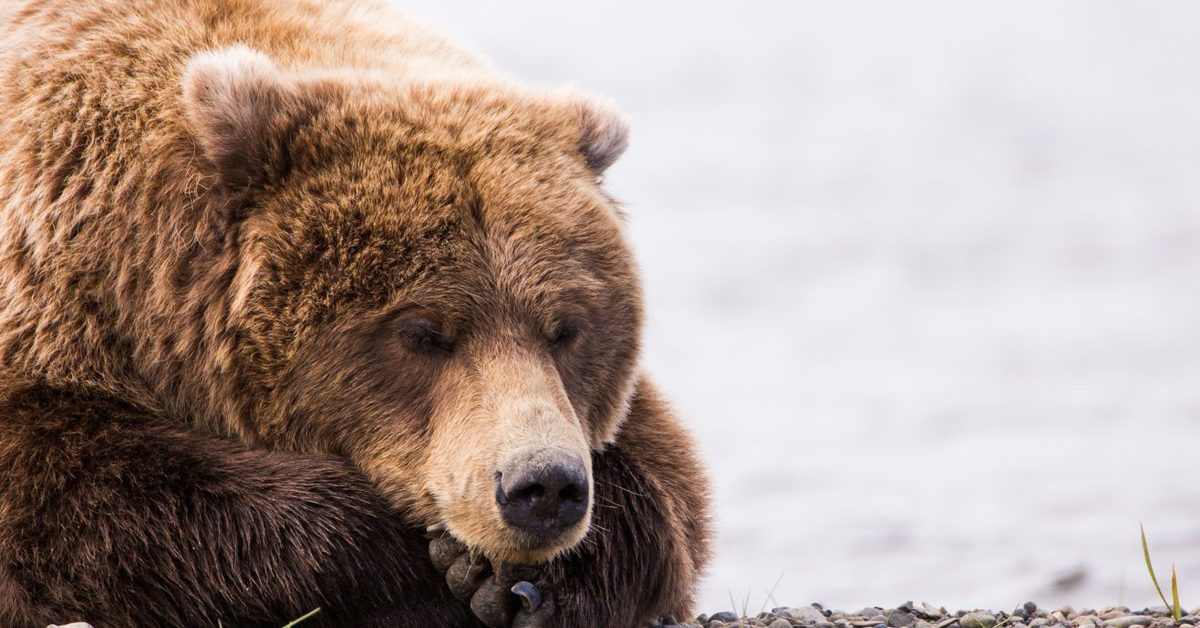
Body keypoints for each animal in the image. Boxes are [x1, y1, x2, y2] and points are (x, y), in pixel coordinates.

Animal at [0, 0, 710, 624]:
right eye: (422, 333)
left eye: (565, 329)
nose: (543, 487)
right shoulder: (57, 312)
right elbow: (76, 495)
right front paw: (418, 564)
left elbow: (669, 484)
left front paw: (533, 583)